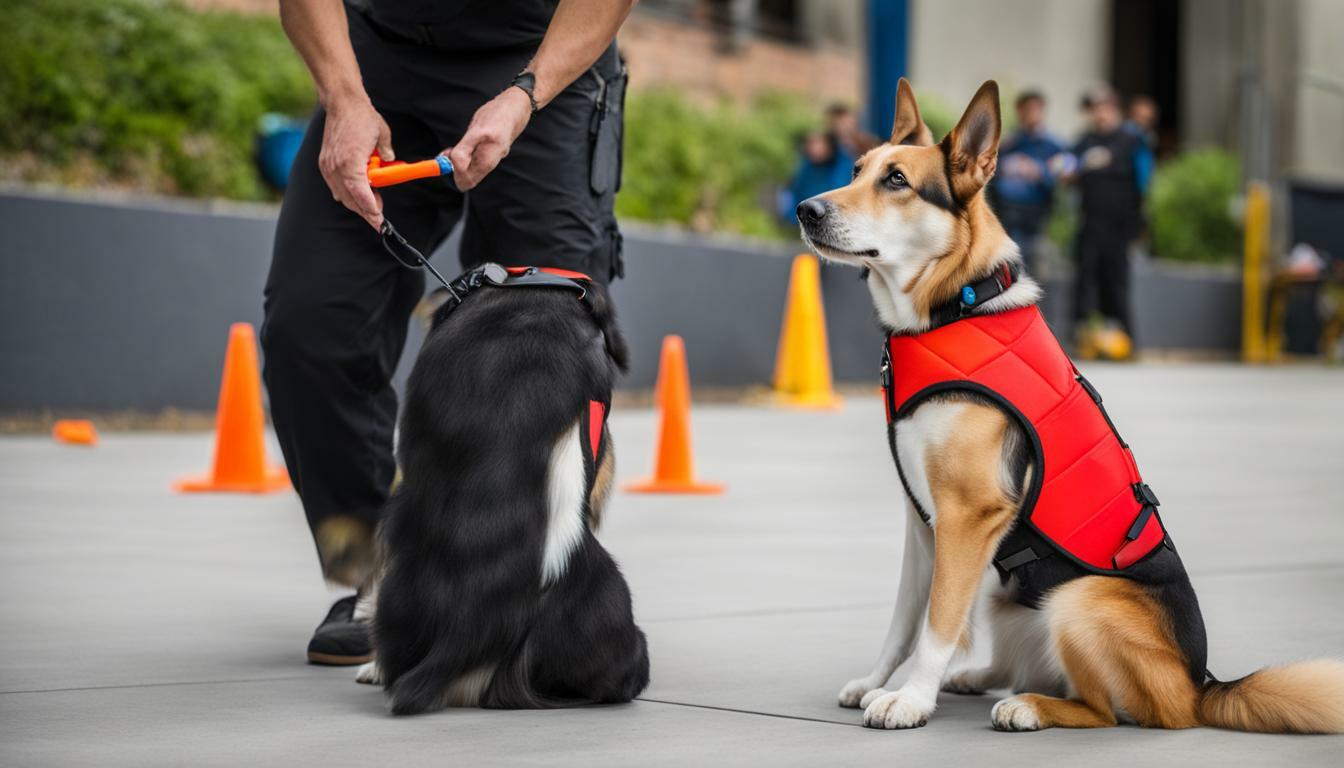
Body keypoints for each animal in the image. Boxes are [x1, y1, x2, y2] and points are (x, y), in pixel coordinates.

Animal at [795, 78, 1344, 731]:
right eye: (855, 170)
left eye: (897, 180)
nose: (805, 210)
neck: (953, 306)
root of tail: (1199, 684)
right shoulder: (923, 523)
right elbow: (905, 620)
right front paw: (879, 683)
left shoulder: (966, 516)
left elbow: (937, 622)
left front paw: (910, 699)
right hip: (1003, 594)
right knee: (1020, 666)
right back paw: (977, 677)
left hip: (1078, 597)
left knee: (1106, 711)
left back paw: (1029, 708)